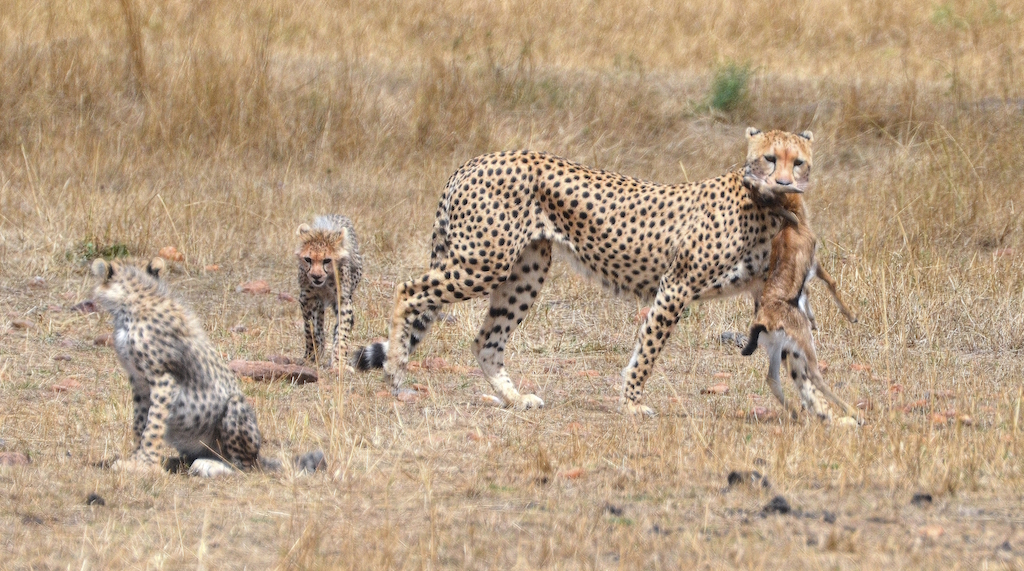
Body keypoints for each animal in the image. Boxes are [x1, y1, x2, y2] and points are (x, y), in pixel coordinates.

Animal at [91, 257, 264, 476]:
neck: (133, 301)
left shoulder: (163, 379)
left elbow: (153, 426)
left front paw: (145, 464)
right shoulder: (139, 381)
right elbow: (140, 423)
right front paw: (135, 458)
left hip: (235, 407)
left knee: (242, 466)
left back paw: (209, 465)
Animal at [354, 128, 815, 415]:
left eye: (799, 162)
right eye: (769, 158)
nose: (786, 182)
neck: (764, 204)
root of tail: (475, 160)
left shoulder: (768, 295)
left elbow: (800, 355)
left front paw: (824, 412)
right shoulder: (676, 286)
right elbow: (647, 351)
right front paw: (631, 403)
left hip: (525, 270)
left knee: (486, 340)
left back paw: (515, 398)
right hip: (484, 261)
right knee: (409, 290)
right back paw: (395, 367)